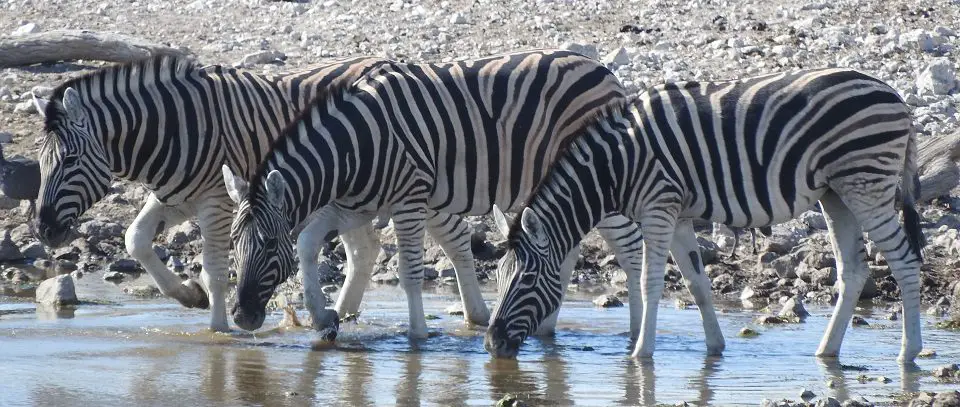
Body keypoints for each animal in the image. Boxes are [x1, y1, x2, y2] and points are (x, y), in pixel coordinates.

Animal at [29, 55, 398, 334]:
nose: (44, 231)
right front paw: (190, 295)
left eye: (70, 160)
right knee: (364, 251)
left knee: (361, 250)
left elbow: (215, 271)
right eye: (40, 163)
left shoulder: (216, 202)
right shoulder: (174, 199)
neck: (171, 129)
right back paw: (342, 314)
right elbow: (135, 239)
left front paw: (217, 332)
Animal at [223, 47, 704, 342]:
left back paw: (635, 332)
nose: (242, 318)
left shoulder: (409, 199)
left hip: (603, 179)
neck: (356, 146)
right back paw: (547, 327)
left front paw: (417, 336)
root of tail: (603, 71)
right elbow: (306, 243)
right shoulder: (355, 205)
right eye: (233, 244)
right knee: (565, 248)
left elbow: (409, 272)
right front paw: (323, 317)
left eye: (267, 244)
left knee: (629, 249)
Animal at [492, 67, 928, 364]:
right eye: (497, 275)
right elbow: (697, 284)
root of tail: (895, 95)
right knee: (853, 271)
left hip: (866, 184)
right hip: (836, 193)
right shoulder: (679, 213)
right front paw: (715, 348)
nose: (491, 343)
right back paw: (826, 352)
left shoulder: (658, 207)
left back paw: (909, 353)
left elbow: (652, 283)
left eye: (526, 278)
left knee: (906, 261)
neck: (617, 166)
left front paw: (640, 355)